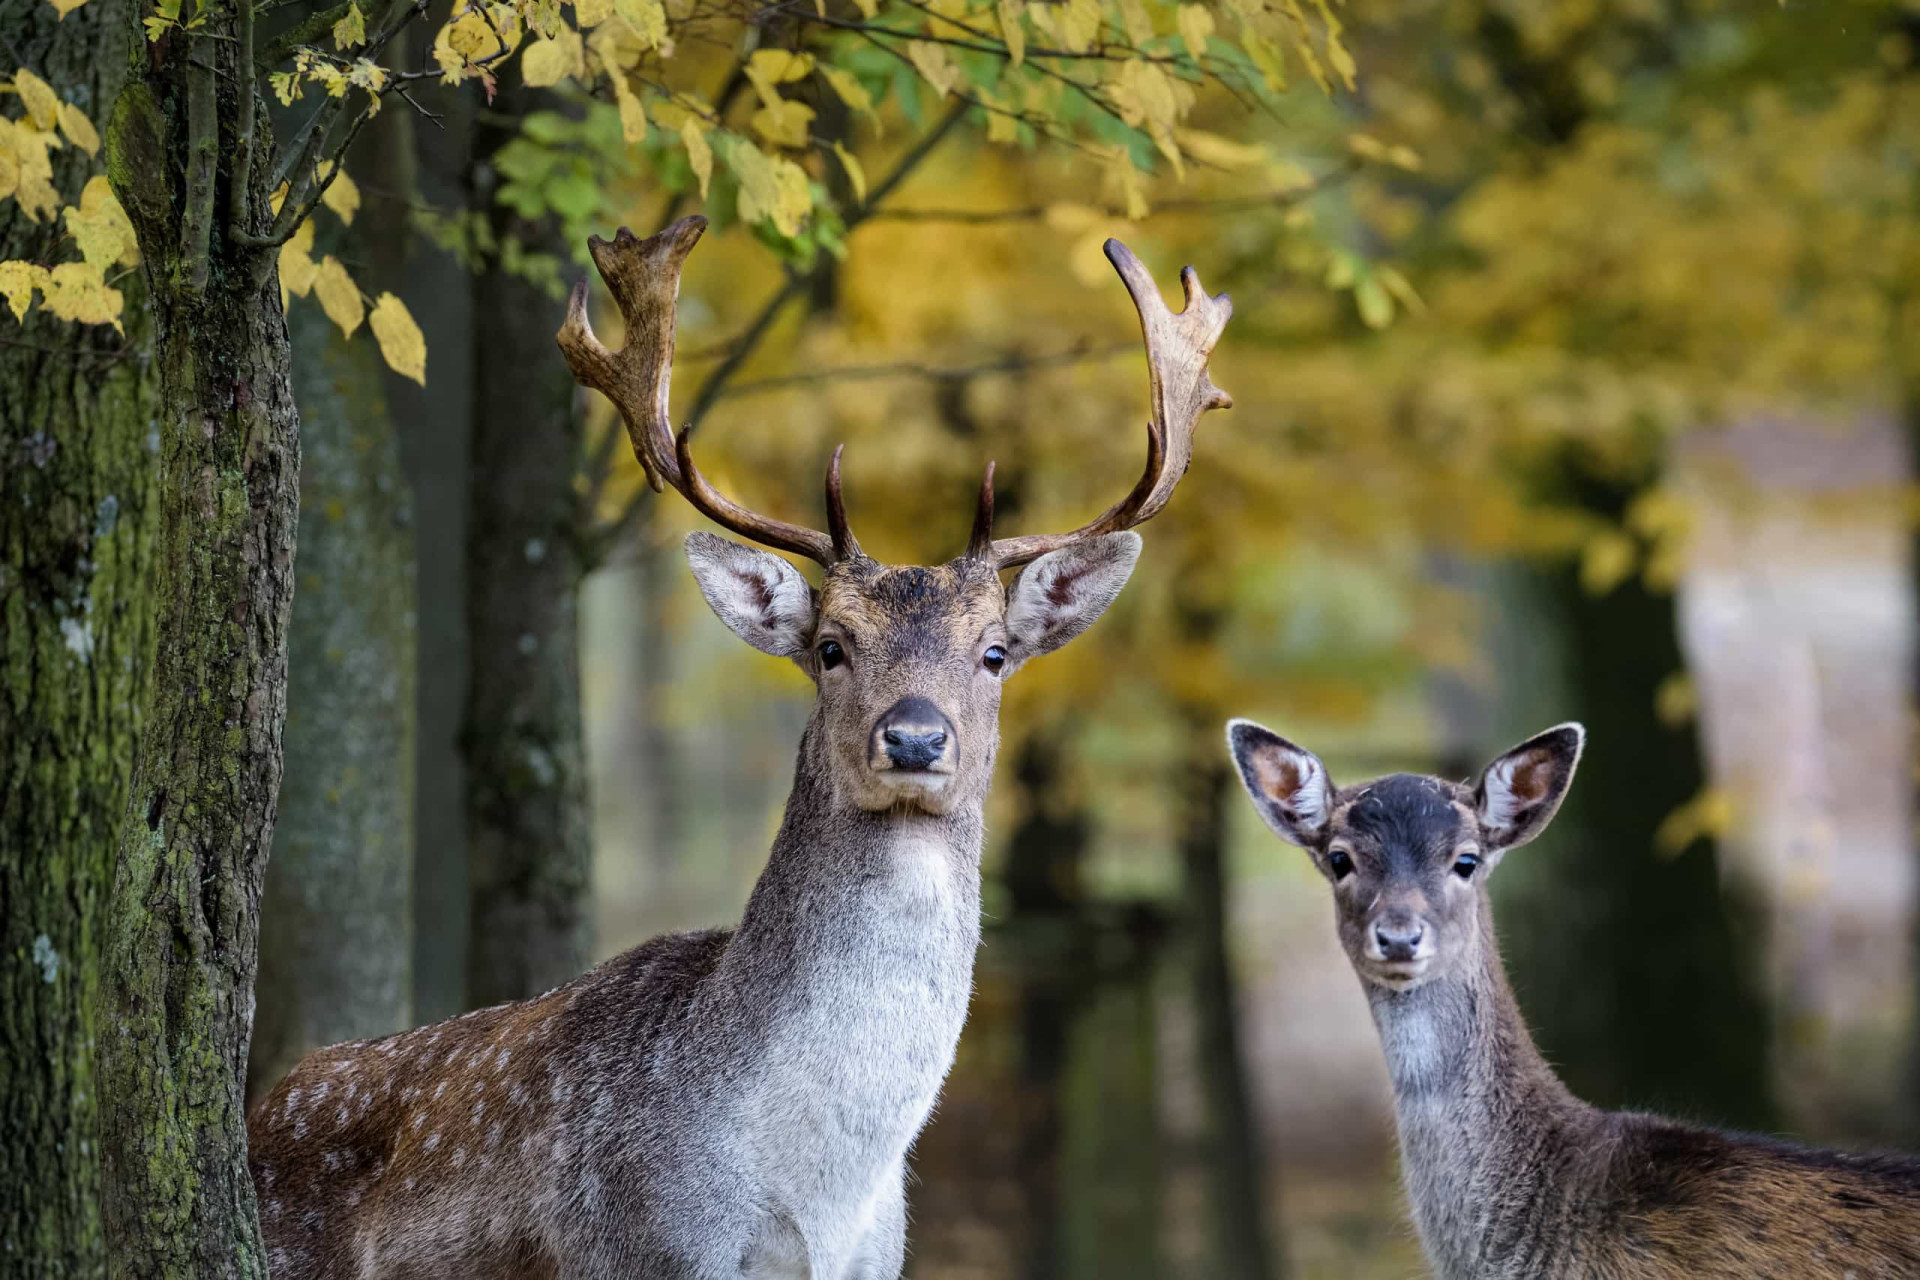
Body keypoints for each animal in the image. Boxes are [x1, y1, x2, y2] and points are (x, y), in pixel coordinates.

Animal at [243, 214, 1228, 1274]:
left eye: (996, 652)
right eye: (831, 646)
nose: (915, 738)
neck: (818, 1200)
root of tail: (257, 1109)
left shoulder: (880, 1260)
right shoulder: (642, 1248)